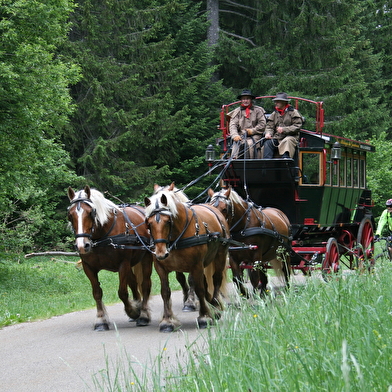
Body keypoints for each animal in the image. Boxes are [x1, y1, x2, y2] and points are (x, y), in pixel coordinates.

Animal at [67, 185, 153, 330]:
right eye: (70, 215)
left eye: (91, 212)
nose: (82, 245)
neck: (102, 236)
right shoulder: (88, 267)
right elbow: (97, 292)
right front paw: (101, 320)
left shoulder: (123, 264)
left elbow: (122, 292)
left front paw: (133, 311)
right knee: (134, 283)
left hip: (146, 257)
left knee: (145, 284)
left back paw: (143, 315)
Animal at [145, 188, 230, 330]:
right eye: (149, 223)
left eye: (168, 221)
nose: (161, 253)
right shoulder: (160, 267)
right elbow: (165, 292)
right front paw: (167, 321)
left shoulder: (196, 266)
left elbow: (199, 289)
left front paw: (204, 317)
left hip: (220, 256)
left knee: (216, 279)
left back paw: (216, 307)